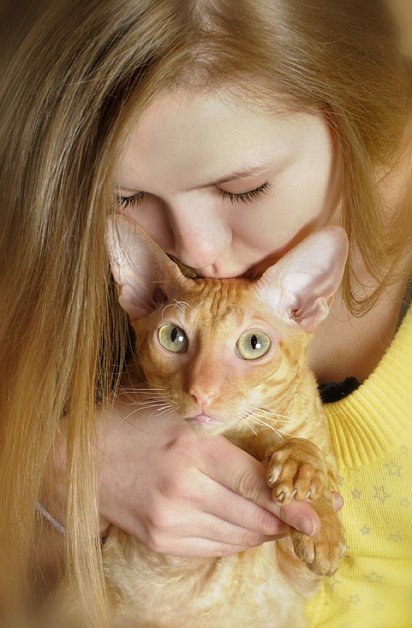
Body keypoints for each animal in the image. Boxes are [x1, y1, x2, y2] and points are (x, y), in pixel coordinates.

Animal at [100, 216, 348, 628]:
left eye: (254, 344)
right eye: (173, 337)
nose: (202, 392)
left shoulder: (300, 582)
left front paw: (312, 491)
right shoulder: (150, 563)